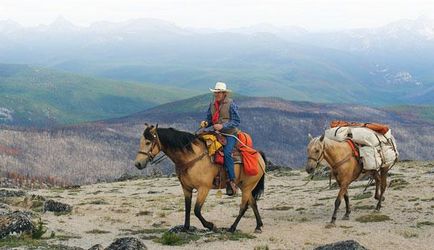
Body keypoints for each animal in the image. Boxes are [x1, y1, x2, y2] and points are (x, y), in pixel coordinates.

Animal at [134, 124, 266, 232]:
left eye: (148, 142)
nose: (138, 164)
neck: (191, 157)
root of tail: (259, 155)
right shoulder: (186, 188)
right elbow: (187, 208)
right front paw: (186, 228)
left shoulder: (204, 188)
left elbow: (196, 210)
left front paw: (211, 226)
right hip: (244, 186)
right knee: (253, 203)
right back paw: (258, 226)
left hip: (247, 187)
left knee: (244, 207)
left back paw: (232, 228)